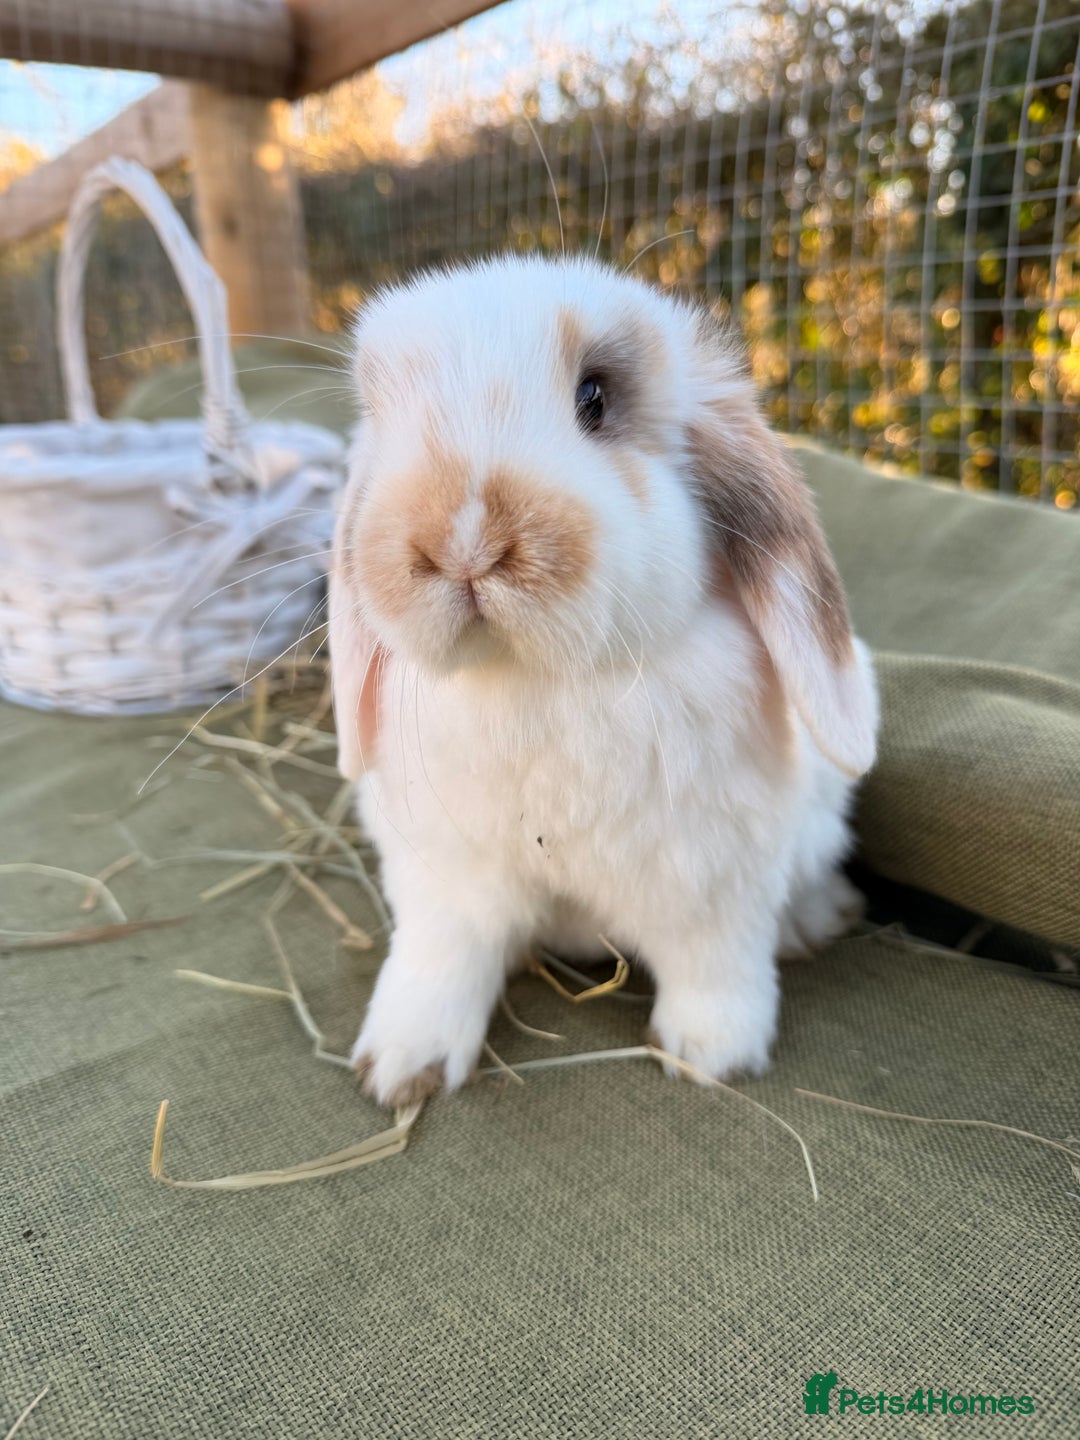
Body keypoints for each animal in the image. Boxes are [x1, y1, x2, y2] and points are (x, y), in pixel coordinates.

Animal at [329, 253, 879, 1109]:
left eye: (594, 397)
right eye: (384, 417)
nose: (460, 540)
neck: (533, 682)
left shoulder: (711, 880)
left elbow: (715, 966)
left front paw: (712, 1058)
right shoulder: (443, 881)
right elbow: (439, 961)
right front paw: (399, 1070)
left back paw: (818, 921)